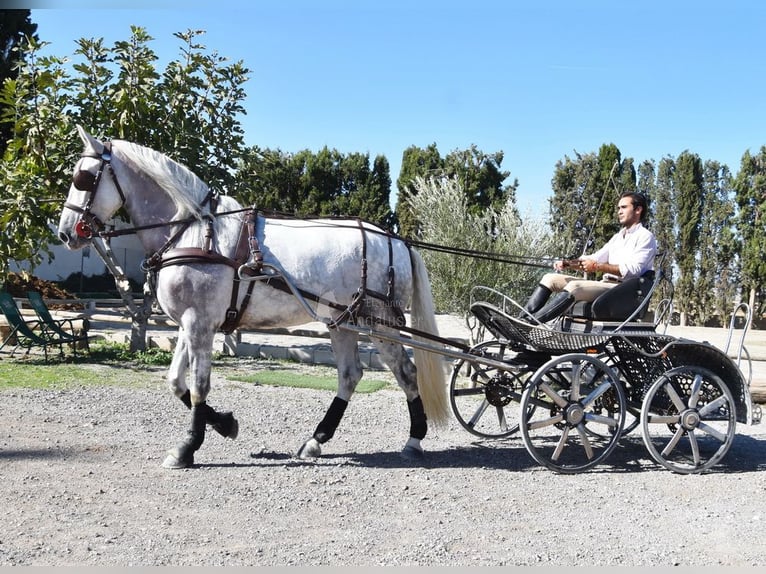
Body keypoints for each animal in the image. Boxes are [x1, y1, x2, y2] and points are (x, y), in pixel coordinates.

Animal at [57, 125, 450, 469]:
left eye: (83, 178)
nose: (64, 233)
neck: (193, 231)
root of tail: (396, 240)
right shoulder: (189, 324)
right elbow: (176, 383)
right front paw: (224, 423)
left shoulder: (200, 323)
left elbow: (198, 386)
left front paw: (188, 447)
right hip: (341, 321)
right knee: (350, 375)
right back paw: (316, 440)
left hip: (377, 322)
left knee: (405, 372)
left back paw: (414, 439)